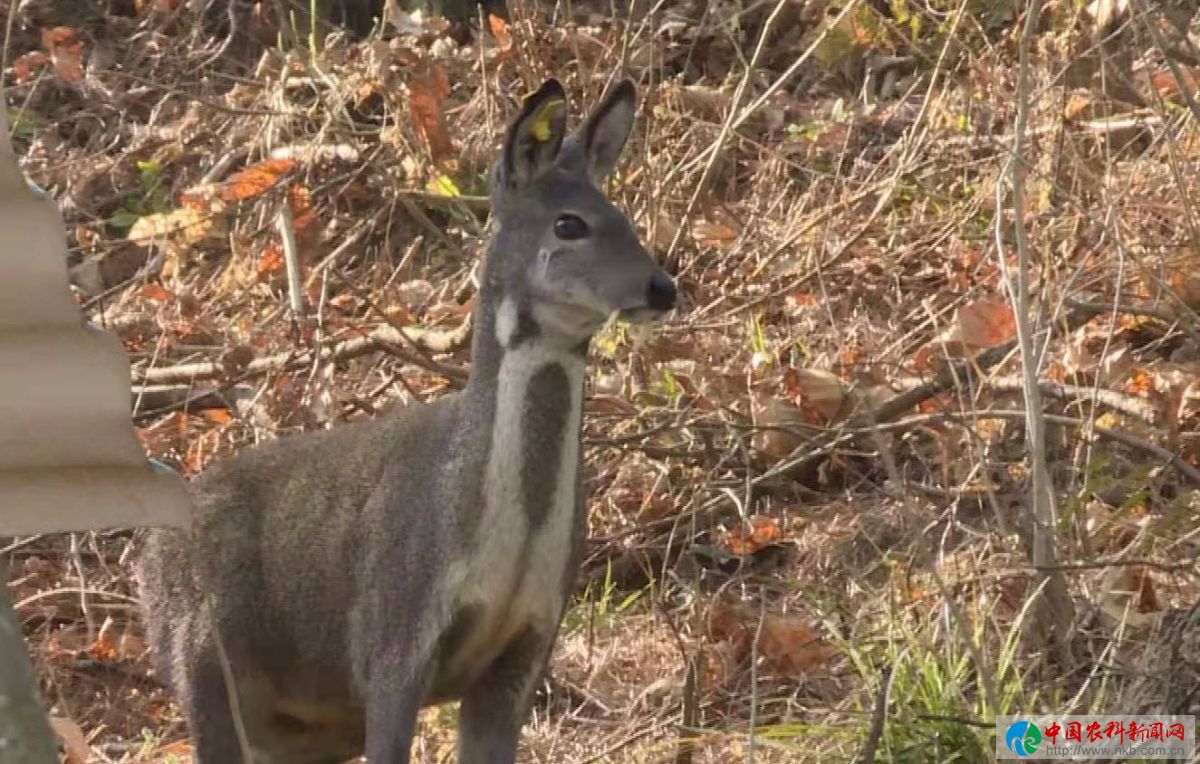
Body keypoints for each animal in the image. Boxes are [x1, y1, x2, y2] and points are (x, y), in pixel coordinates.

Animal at [136, 79, 676, 762]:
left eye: (626, 218)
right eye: (569, 223)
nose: (662, 287)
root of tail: (145, 555)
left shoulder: (528, 646)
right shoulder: (393, 635)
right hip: (203, 663)